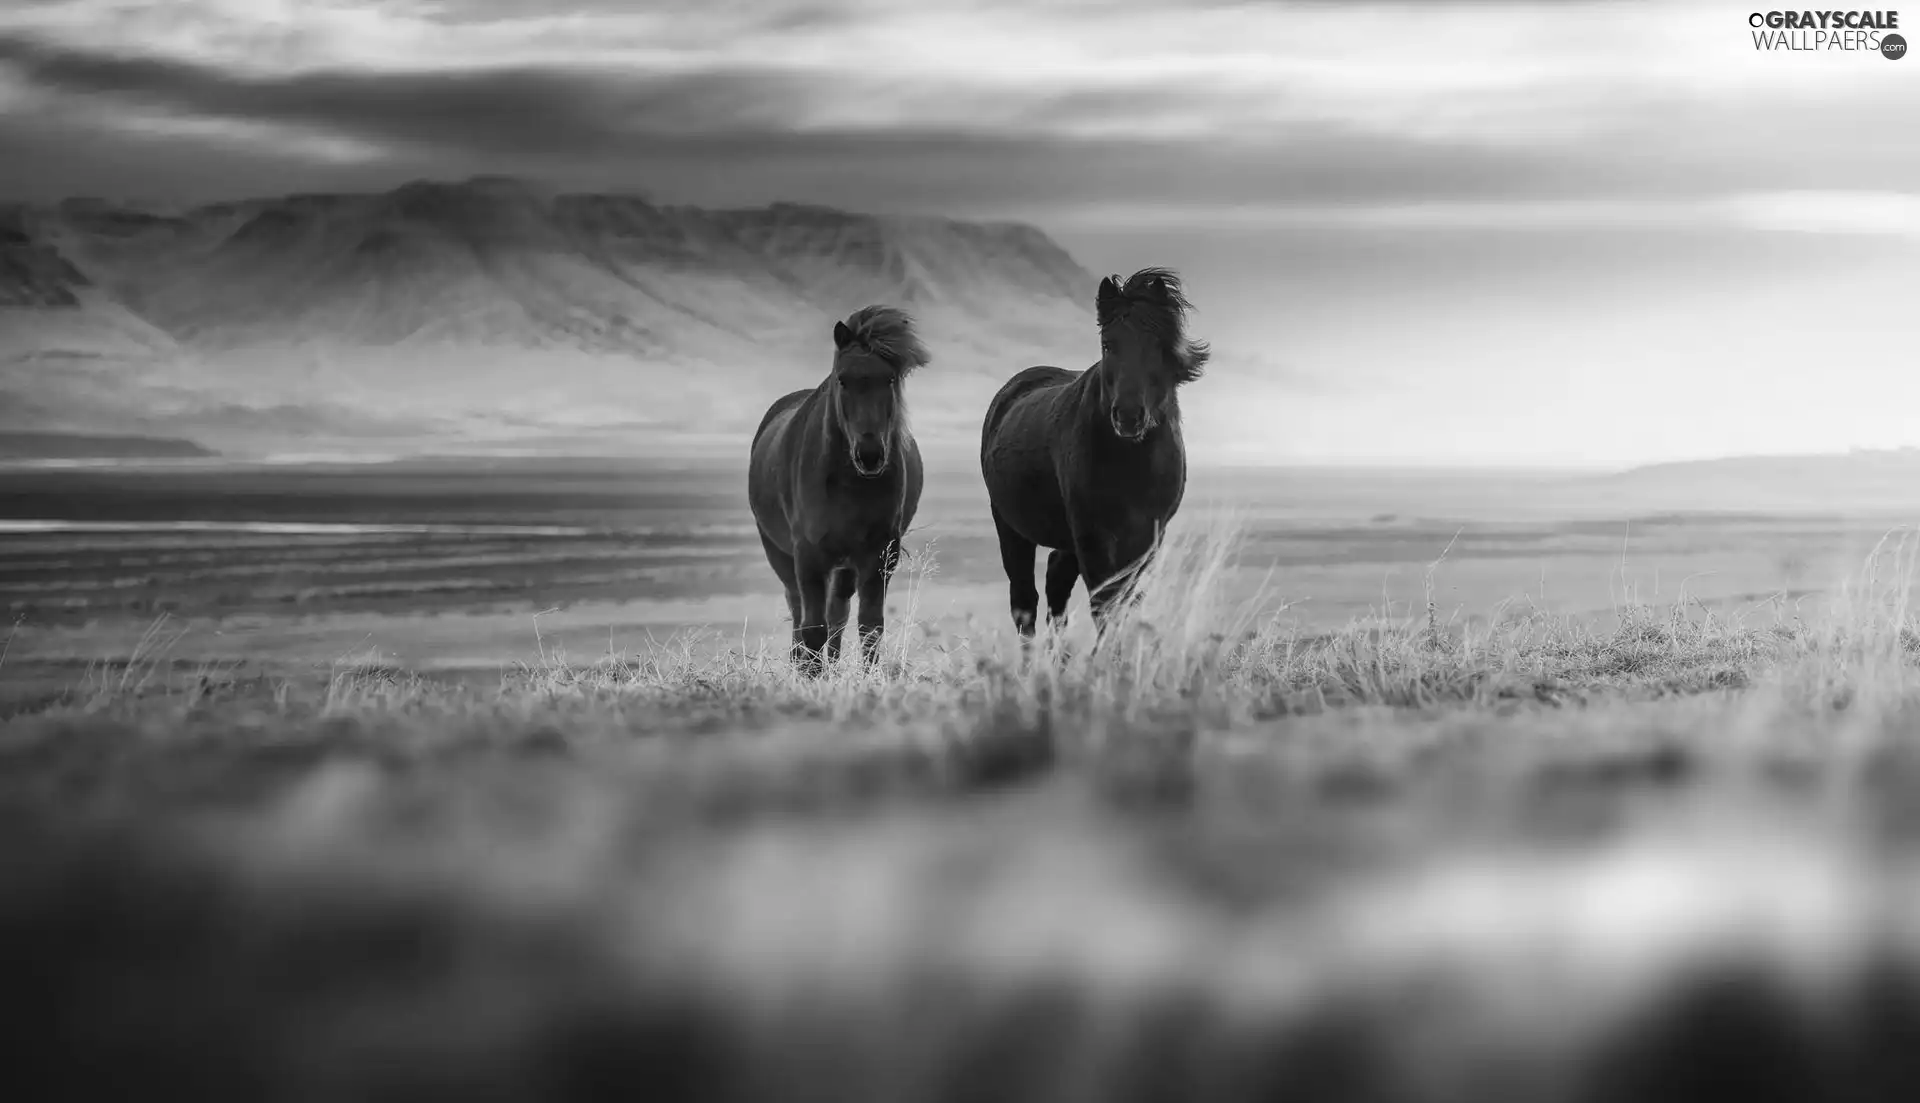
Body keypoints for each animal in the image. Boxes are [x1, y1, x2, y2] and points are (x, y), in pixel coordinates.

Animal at [748, 307, 929, 680]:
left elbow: (869, 626)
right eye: (843, 380)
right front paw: (811, 677)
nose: (870, 455)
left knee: (838, 616)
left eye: (890, 379)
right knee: (799, 611)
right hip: (780, 553)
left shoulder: (879, 554)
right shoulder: (808, 555)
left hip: (845, 565)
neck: (849, 484)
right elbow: (812, 627)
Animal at [983, 269, 1205, 645]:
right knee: (1025, 601)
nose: (1128, 417)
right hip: (1011, 528)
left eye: (1157, 346)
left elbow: (1123, 601)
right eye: (1107, 345)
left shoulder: (1147, 539)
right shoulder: (1093, 536)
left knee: (1055, 585)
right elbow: (1105, 604)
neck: (1132, 462)